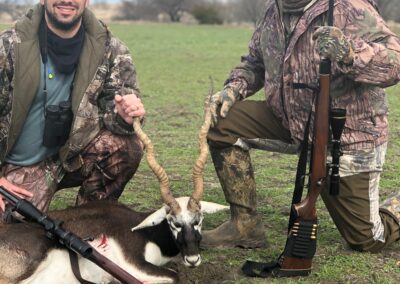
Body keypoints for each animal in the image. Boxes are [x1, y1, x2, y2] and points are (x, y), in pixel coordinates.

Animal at [0, 96, 227, 282]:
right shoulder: (132, 264)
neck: (145, 231)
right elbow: (174, 275)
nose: (193, 259)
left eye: (199, 220)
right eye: (174, 222)